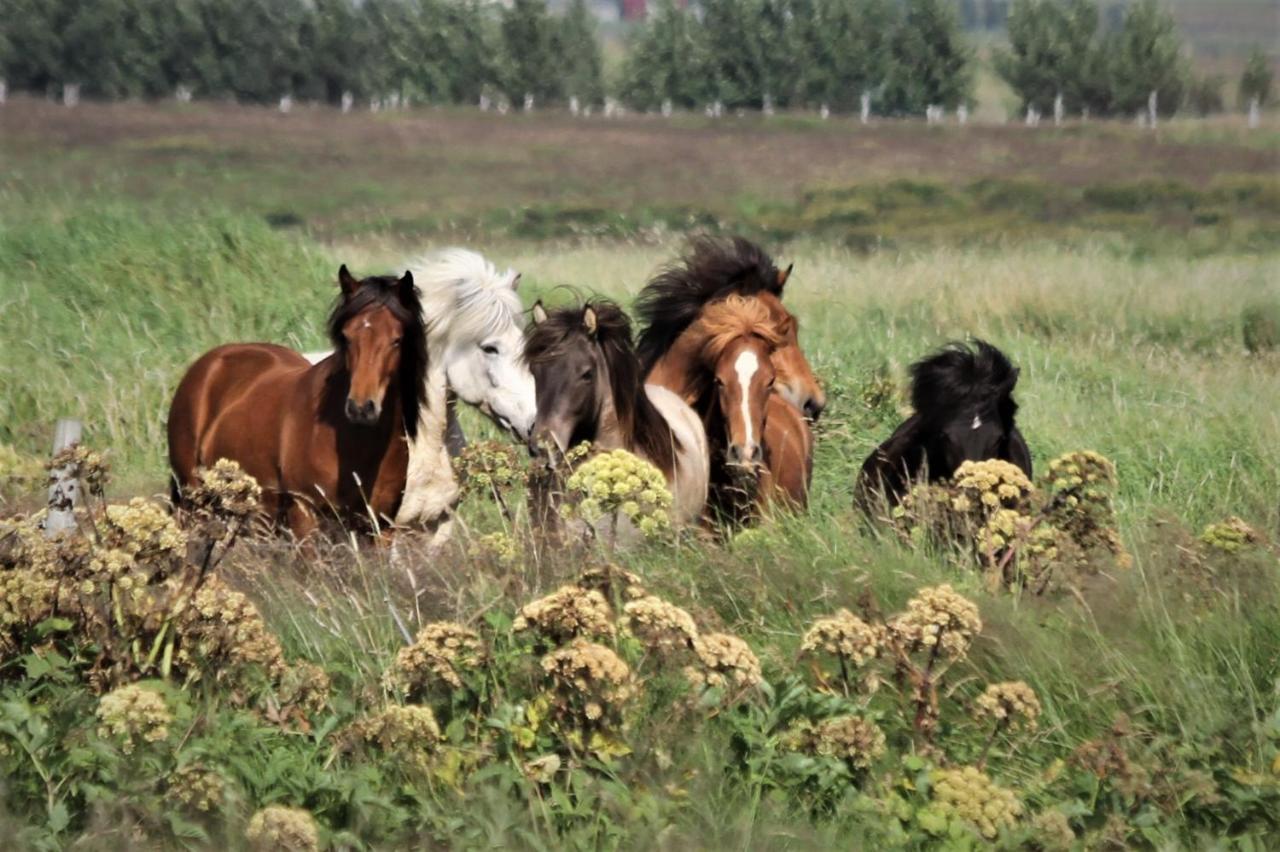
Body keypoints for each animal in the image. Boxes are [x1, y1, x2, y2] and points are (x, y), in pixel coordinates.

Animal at [162, 263, 424, 537]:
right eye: (347, 336)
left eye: (397, 340)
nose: (361, 408)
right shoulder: (303, 511)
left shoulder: (381, 525)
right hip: (192, 501)